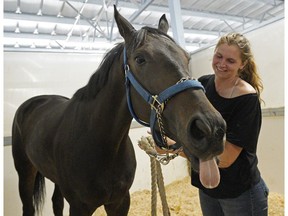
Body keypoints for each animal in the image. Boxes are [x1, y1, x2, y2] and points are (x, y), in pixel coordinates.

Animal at [12, 5, 226, 215]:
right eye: (140, 59)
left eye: (186, 57)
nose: (210, 129)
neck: (101, 145)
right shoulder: (80, 207)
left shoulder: (120, 202)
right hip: (25, 172)